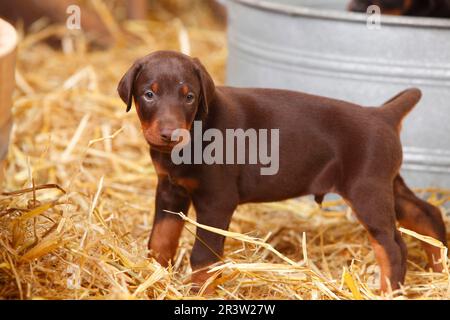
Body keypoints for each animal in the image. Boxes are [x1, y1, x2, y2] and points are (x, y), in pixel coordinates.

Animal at [118, 50, 448, 296]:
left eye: (189, 97)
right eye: (149, 94)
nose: (170, 135)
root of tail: (383, 114)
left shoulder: (216, 200)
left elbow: (203, 256)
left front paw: (198, 292)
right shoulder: (170, 189)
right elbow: (160, 239)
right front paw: (153, 276)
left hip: (366, 190)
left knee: (392, 246)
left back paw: (388, 290)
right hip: (386, 181)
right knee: (426, 213)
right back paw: (439, 267)